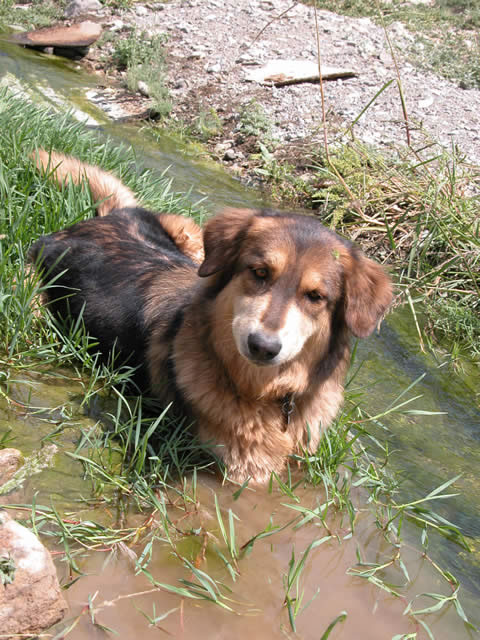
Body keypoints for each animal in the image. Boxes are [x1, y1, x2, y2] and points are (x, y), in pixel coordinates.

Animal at [30, 150, 392, 484]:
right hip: (32, 288)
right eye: (260, 272)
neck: (266, 395)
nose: (262, 346)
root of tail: (104, 218)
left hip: (189, 234)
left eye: (315, 296)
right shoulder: (240, 474)